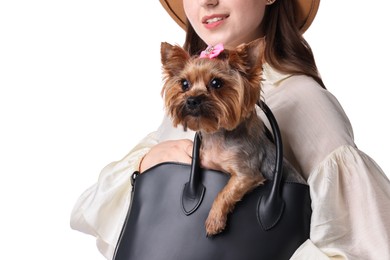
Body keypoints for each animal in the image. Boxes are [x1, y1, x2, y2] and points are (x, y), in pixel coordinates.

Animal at [160, 38, 298, 236]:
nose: (192, 100)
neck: (218, 134)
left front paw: (214, 219)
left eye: (217, 83)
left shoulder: (246, 174)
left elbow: (225, 192)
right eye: (184, 84)